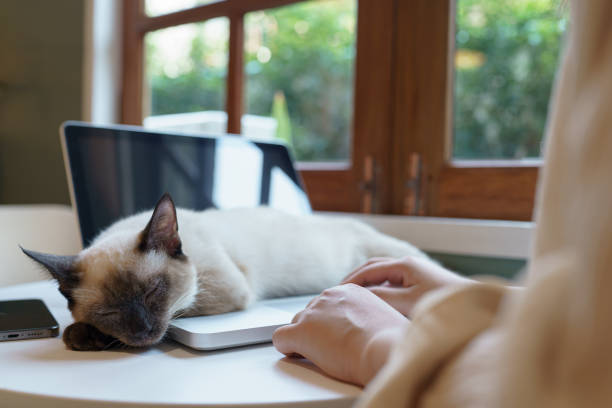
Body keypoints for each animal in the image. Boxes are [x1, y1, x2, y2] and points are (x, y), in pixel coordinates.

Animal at [22, 194, 426, 350]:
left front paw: (85, 336)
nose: (144, 330)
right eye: (110, 311)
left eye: (153, 292)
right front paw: (84, 333)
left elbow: (174, 319)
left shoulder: (221, 290)